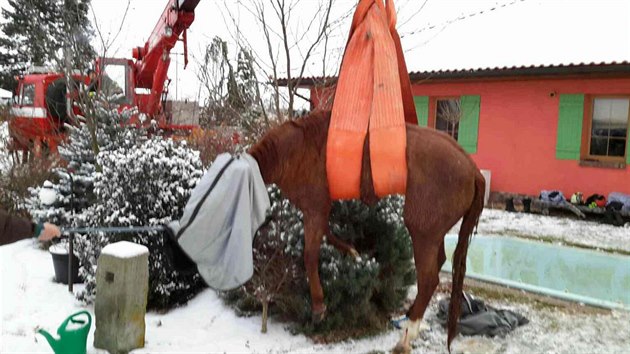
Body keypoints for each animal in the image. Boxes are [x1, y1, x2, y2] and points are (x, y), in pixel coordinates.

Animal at [249, 111, 486, 352]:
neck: (295, 149)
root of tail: (473, 170)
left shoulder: (314, 208)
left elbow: (310, 255)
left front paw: (318, 306)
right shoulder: (319, 209)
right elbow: (327, 232)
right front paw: (352, 252)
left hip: (423, 231)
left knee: (429, 279)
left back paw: (408, 334)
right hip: (433, 232)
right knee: (437, 264)